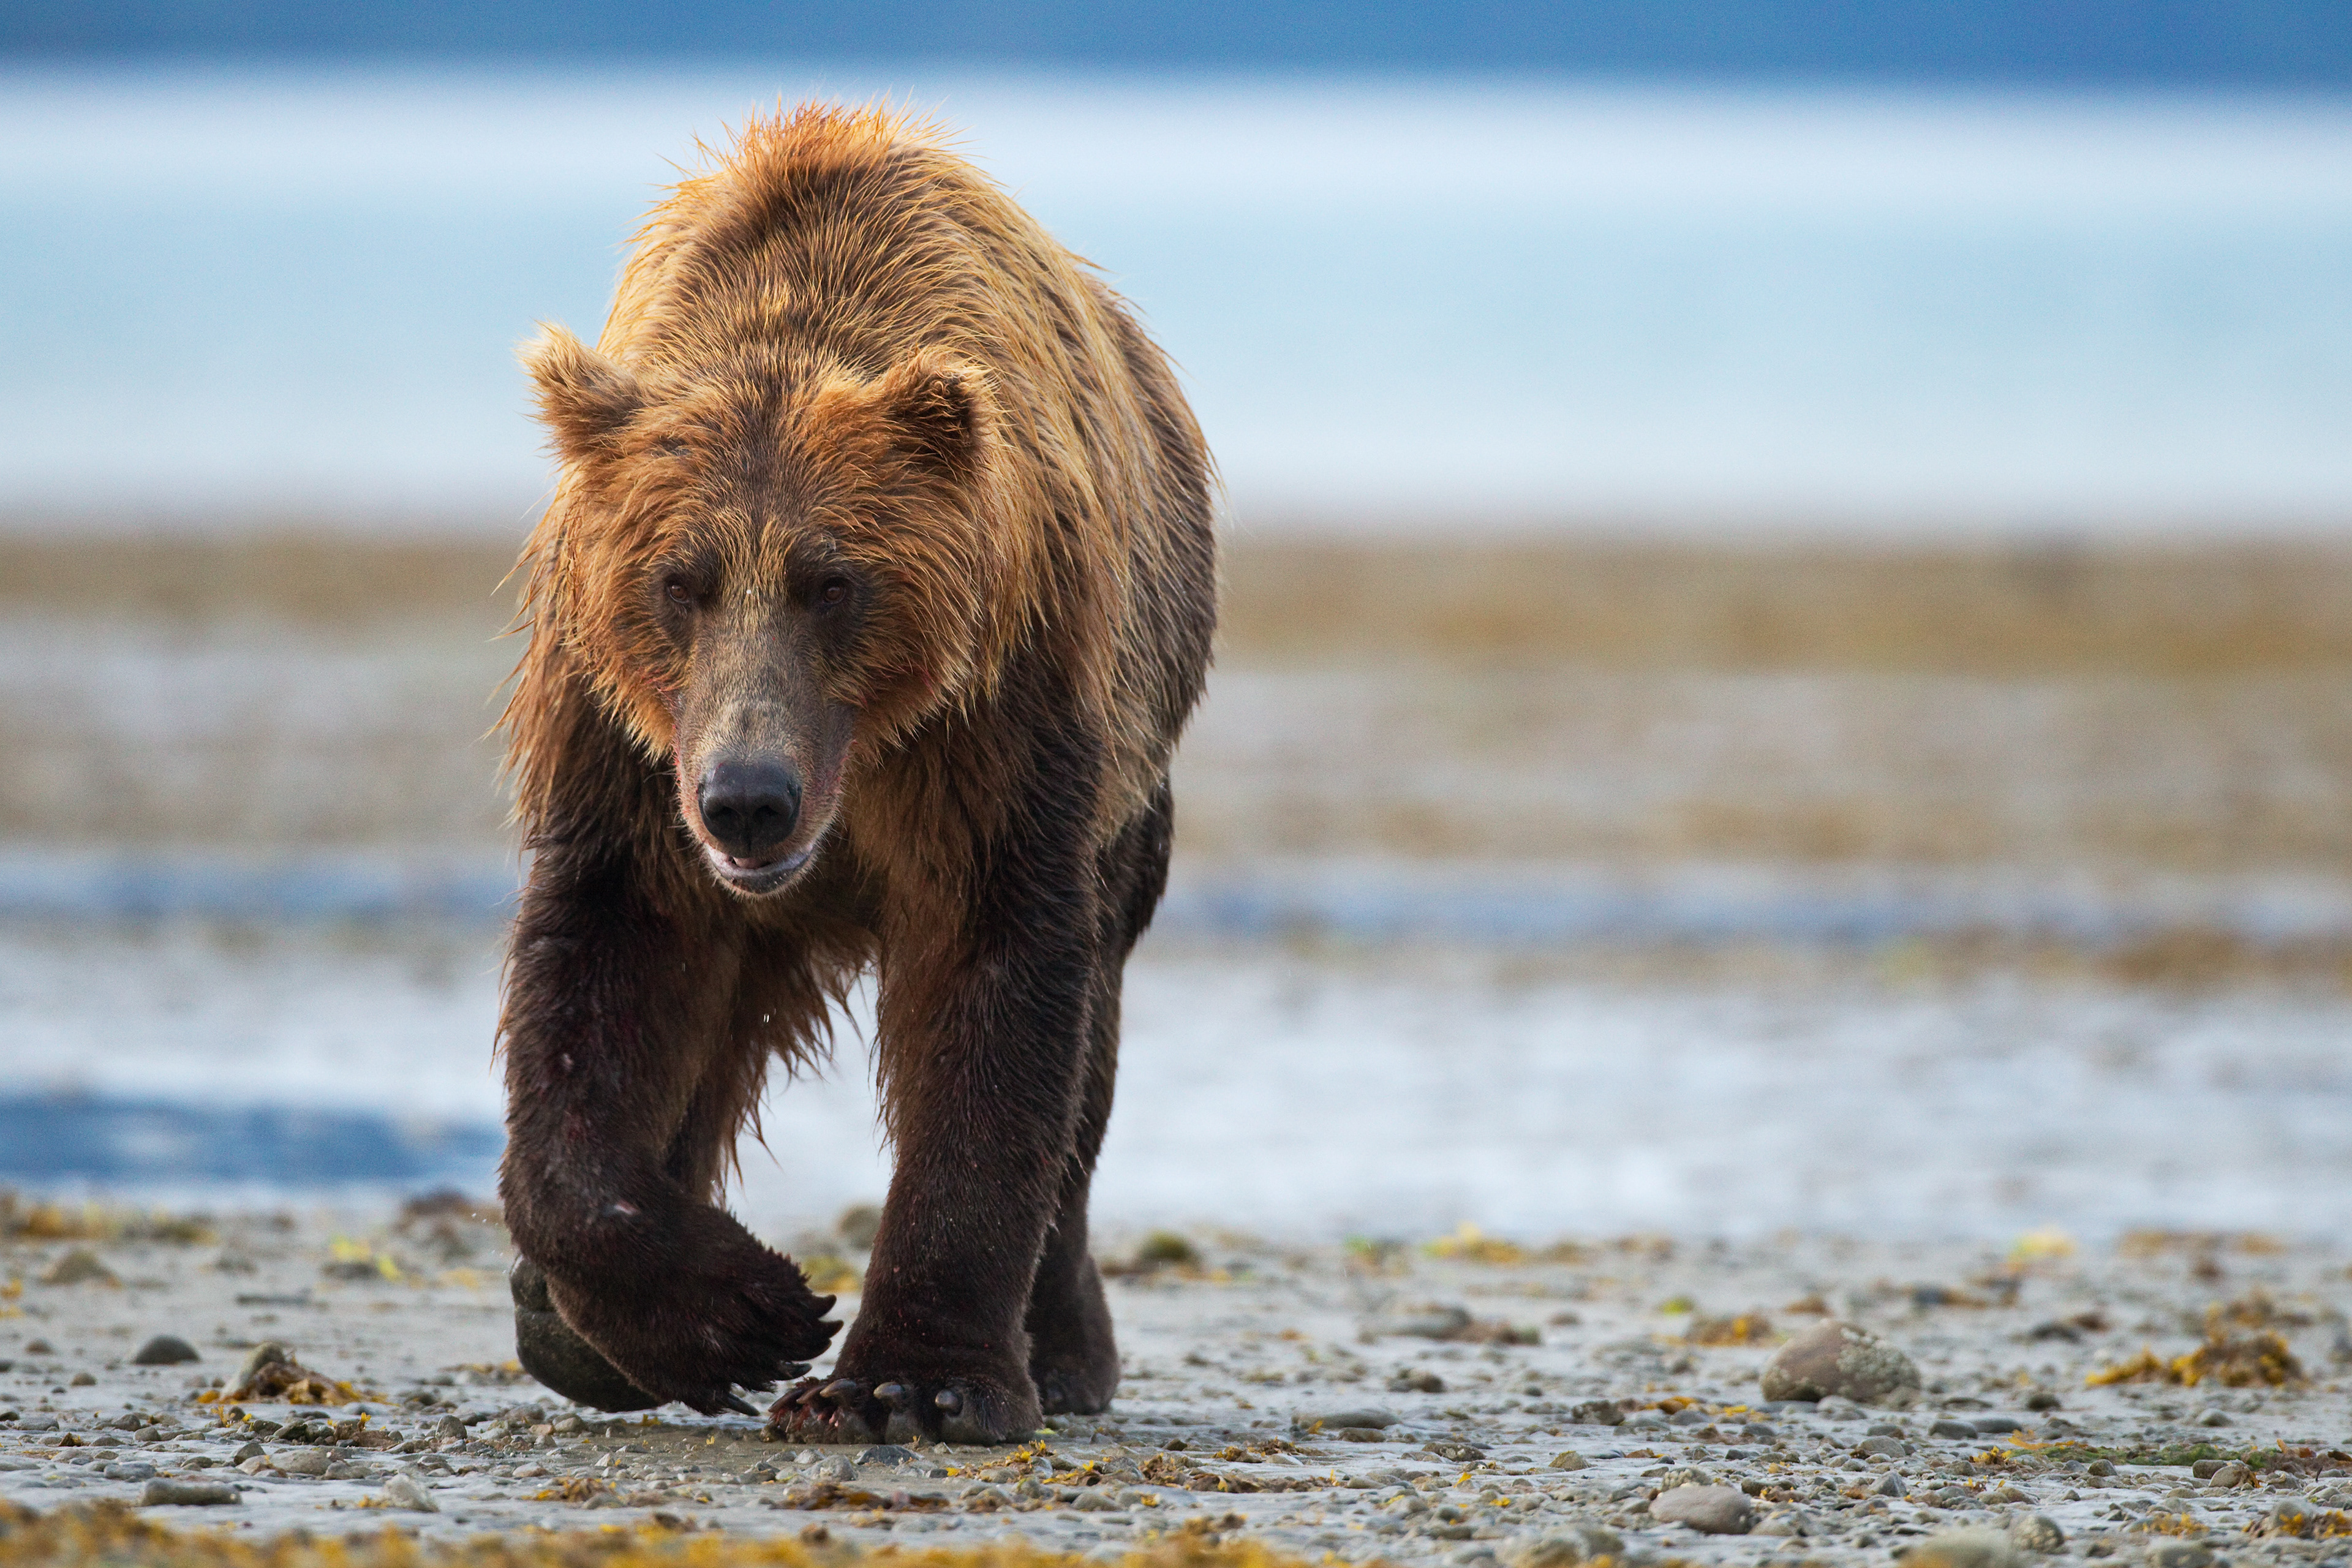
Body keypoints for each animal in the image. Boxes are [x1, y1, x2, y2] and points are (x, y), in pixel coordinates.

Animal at [495, 104, 1216, 1446]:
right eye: (679, 581)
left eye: (834, 580)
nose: (748, 795)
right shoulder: (623, 744)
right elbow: (599, 972)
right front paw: (733, 1309)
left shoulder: (999, 717)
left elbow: (998, 1001)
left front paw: (907, 1381)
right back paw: (565, 1321)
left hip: (1129, 799)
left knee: (1087, 1062)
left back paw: (1063, 1344)